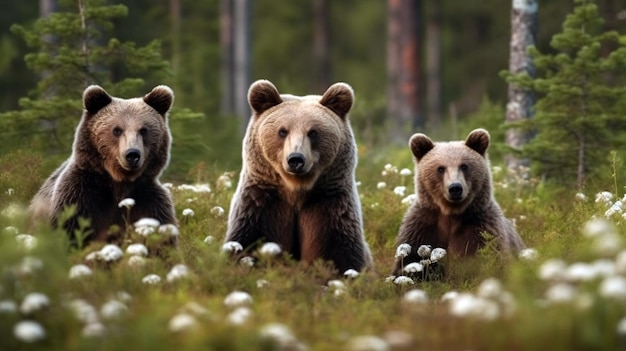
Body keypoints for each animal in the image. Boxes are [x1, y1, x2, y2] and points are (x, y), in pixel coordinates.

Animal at [29, 85, 176, 246]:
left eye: (143, 130)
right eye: (117, 130)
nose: (132, 154)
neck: (119, 183)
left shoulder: (148, 203)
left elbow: (160, 238)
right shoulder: (79, 196)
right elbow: (69, 232)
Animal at [224, 80, 370, 276]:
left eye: (313, 132)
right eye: (282, 131)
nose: (296, 159)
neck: (296, 190)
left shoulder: (329, 207)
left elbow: (337, 254)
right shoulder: (261, 204)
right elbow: (248, 243)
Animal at [392, 130, 524, 278]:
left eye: (464, 166)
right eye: (440, 168)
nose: (455, 188)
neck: (452, 213)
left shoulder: (482, 229)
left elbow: (494, 260)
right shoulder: (422, 228)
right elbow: (408, 262)